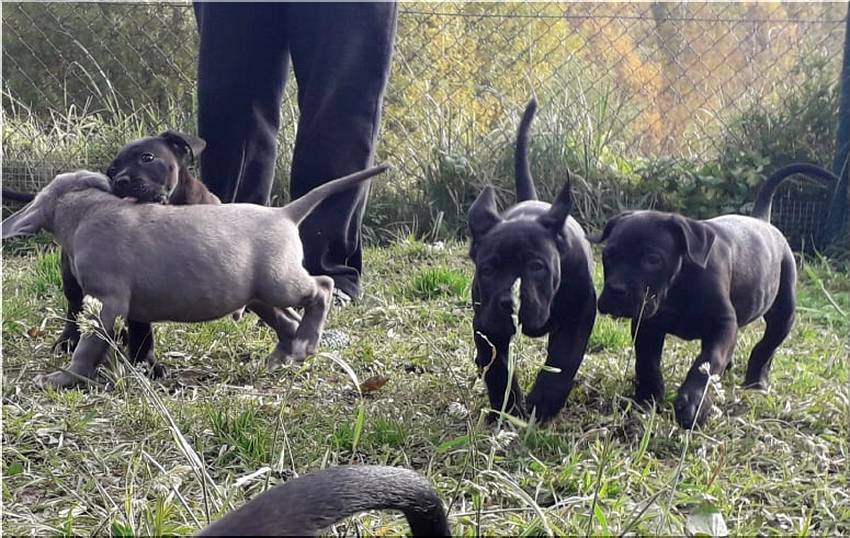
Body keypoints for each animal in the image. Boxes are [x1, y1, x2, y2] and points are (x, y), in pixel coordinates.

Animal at [2, 165, 387, 389]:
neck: (87, 208)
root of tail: (284, 214)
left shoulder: (107, 302)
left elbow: (88, 345)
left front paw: (64, 378)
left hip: (280, 282)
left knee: (322, 287)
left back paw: (305, 342)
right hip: (259, 295)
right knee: (288, 321)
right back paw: (285, 355)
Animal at [467, 99, 597, 422]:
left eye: (537, 267)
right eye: (487, 269)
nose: (509, 303)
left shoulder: (577, 319)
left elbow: (562, 365)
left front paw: (541, 406)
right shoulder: (487, 327)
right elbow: (498, 370)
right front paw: (509, 409)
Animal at [593, 162, 838, 428]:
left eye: (653, 259)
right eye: (608, 255)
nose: (616, 290)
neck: (678, 286)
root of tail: (762, 220)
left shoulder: (722, 324)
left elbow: (708, 362)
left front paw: (693, 403)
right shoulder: (648, 325)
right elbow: (647, 363)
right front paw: (648, 397)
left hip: (784, 310)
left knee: (766, 346)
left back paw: (756, 382)